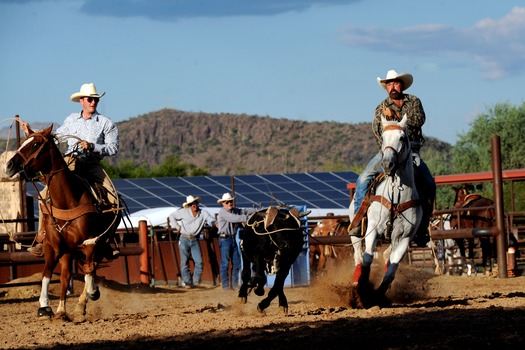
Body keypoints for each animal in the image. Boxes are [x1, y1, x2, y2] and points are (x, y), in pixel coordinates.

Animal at [4, 124, 121, 322]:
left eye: (35, 144)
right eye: (24, 142)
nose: (9, 165)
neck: (68, 201)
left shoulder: (90, 243)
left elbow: (89, 268)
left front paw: (92, 292)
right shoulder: (52, 246)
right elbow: (47, 273)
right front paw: (44, 307)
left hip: (97, 245)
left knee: (92, 267)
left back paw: (82, 304)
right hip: (68, 251)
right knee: (66, 276)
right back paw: (61, 311)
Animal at [348, 114, 422, 300]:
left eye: (402, 137)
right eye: (383, 137)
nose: (387, 164)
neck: (396, 197)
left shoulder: (405, 238)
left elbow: (391, 270)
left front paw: (379, 293)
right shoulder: (373, 228)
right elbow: (367, 259)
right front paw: (362, 286)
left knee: (387, 256)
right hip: (356, 233)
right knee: (358, 255)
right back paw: (356, 279)